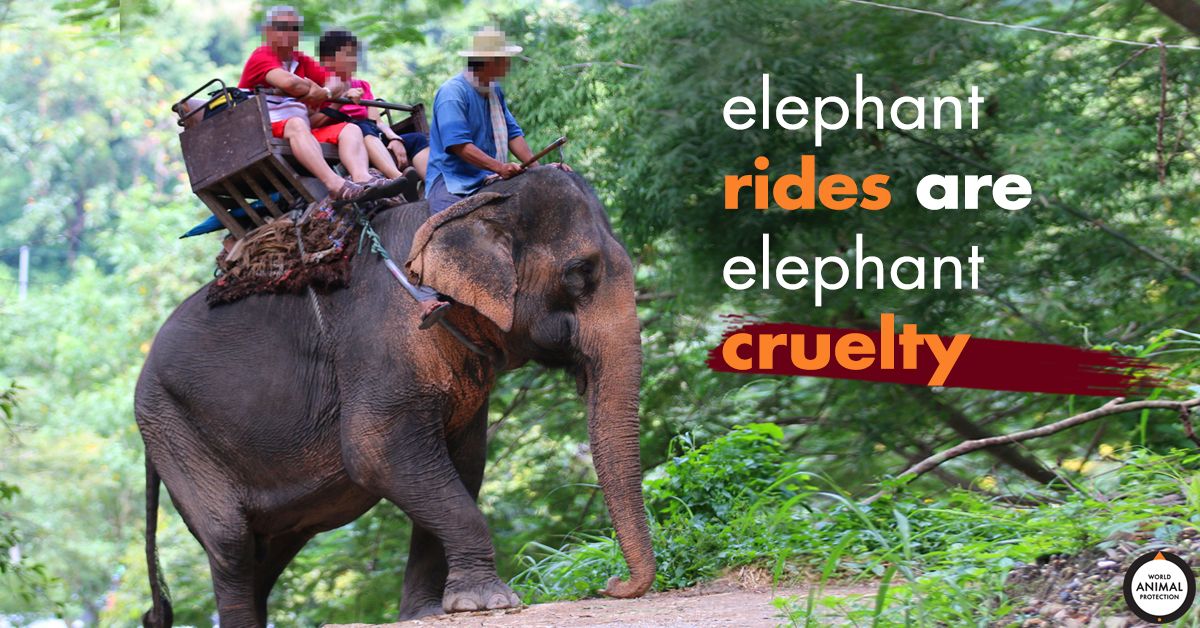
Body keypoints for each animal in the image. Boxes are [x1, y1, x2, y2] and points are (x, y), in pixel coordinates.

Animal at [133, 166, 655, 627]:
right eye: (580, 273)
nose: (612, 585)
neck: (460, 209)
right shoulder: (382, 340)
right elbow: (377, 454)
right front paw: (490, 602)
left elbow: (464, 465)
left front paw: (436, 611)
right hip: (173, 431)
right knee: (231, 541)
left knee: (266, 549)